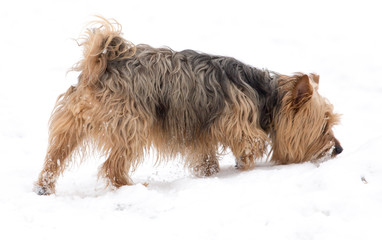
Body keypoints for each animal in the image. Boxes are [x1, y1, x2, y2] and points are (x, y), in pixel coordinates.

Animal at [33, 17, 344, 195]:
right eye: (324, 125)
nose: (339, 149)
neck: (265, 96)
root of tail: (101, 68)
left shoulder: (202, 134)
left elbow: (207, 159)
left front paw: (212, 175)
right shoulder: (238, 126)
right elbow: (249, 148)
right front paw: (243, 171)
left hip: (72, 124)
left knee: (55, 155)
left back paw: (44, 185)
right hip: (132, 125)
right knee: (112, 166)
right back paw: (133, 187)